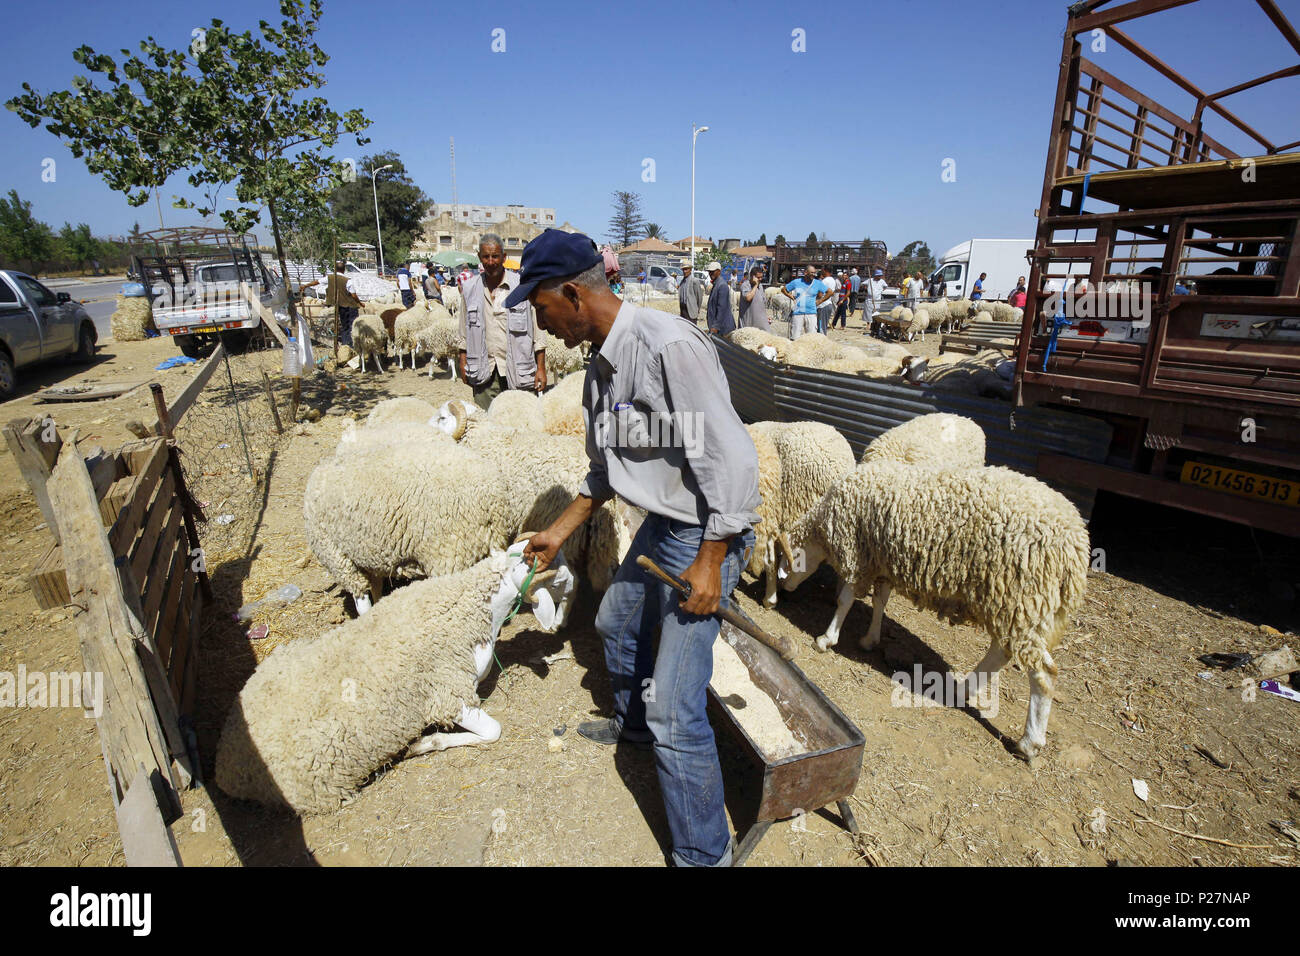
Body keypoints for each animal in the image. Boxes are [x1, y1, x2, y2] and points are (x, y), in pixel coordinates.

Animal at [213, 546, 574, 816]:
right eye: (556, 571)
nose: (574, 583)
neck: (470, 606)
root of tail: (224, 763)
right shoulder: (448, 696)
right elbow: (493, 732)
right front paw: (423, 744)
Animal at [774, 463, 1092, 764]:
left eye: (787, 561)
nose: (784, 589)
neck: (826, 522)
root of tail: (1076, 543)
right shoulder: (882, 560)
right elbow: (880, 601)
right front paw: (870, 639)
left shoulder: (857, 554)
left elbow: (845, 600)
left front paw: (826, 639)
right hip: (1012, 606)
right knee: (1001, 651)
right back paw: (964, 691)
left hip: (1024, 599)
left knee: (1043, 673)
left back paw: (1029, 743)